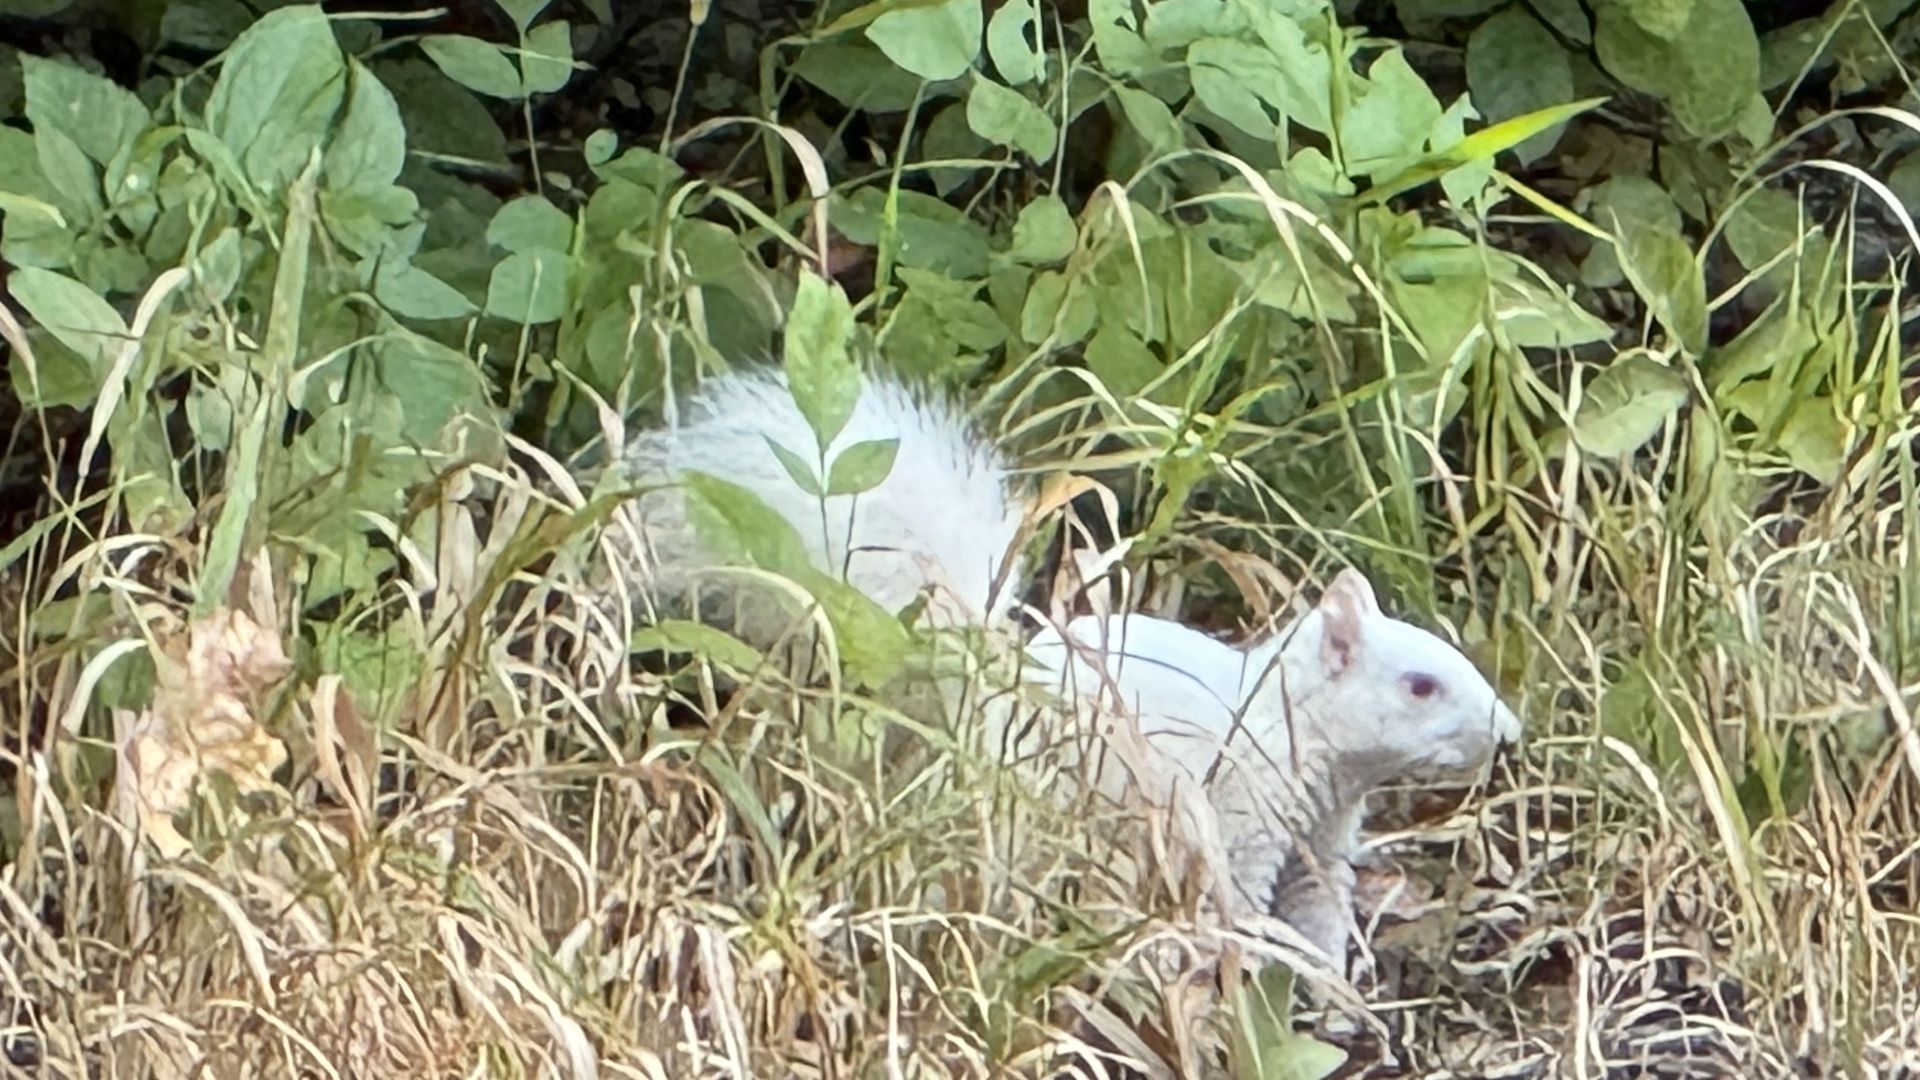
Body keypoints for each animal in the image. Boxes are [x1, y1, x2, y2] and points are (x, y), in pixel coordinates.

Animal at [616, 364, 1523, 965]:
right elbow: (1238, 903)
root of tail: (982, 688)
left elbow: (1322, 914)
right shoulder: (1236, 818)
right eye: (1420, 685)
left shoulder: (1321, 842)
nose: (1509, 733)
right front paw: (1251, 970)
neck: (1290, 734)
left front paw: (1332, 998)